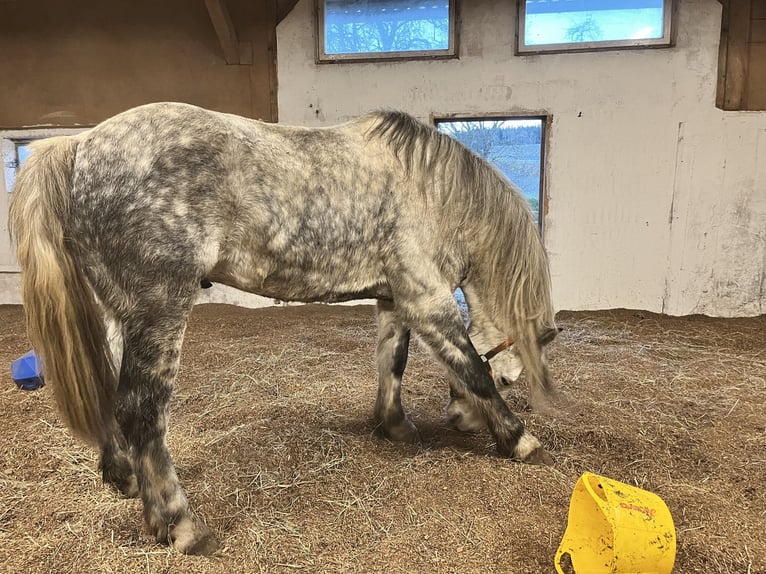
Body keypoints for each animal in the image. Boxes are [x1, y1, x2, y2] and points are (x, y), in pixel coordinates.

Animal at [7, 101, 560, 556]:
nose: (461, 421)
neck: (434, 195)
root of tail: (80, 146)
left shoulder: (393, 298)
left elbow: (394, 362)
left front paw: (395, 425)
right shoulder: (426, 300)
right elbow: (470, 366)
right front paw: (519, 439)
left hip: (124, 313)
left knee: (113, 396)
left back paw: (123, 478)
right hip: (160, 308)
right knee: (141, 409)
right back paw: (181, 525)